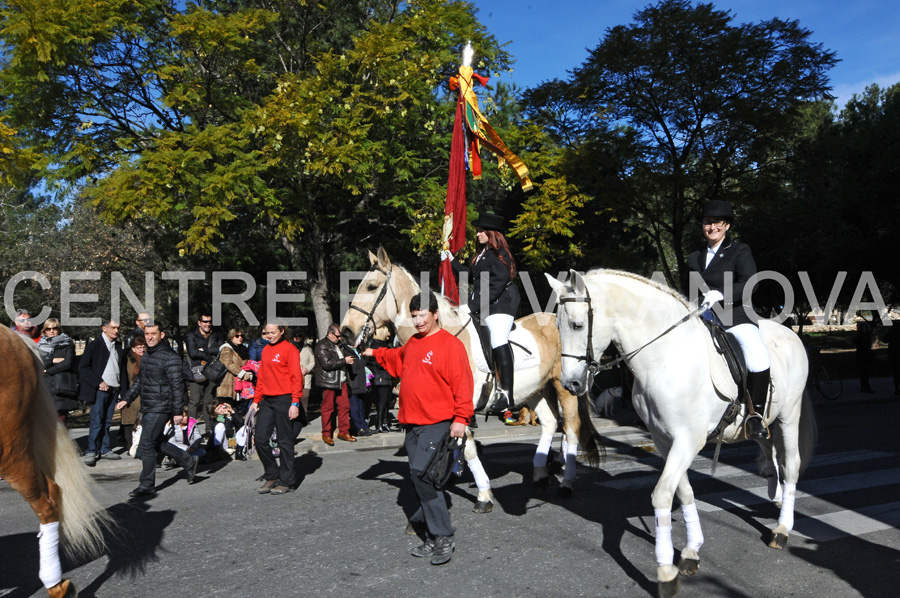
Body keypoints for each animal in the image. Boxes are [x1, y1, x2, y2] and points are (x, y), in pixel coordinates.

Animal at [342, 248, 600, 510]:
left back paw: (566, 483)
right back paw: (540, 475)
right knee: (550, 424)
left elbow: (467, 449)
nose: (346, 331)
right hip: (536, 390)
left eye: (371, 286)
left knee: (571, 428)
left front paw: (484, 495)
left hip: (564, 388)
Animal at [544, 270, 820, 598]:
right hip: (761, 423)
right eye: (558, 327)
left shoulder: (688, 441)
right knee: (769, 454)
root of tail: (790, 333)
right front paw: (690, 551)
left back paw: (782, 528)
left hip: (789, 416)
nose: (570, 384)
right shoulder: (665, 441)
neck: (664, 357)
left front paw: (665, 572)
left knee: (790, 466)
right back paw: (775, 496)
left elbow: (663, 494)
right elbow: (684, 491)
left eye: (577, 324)